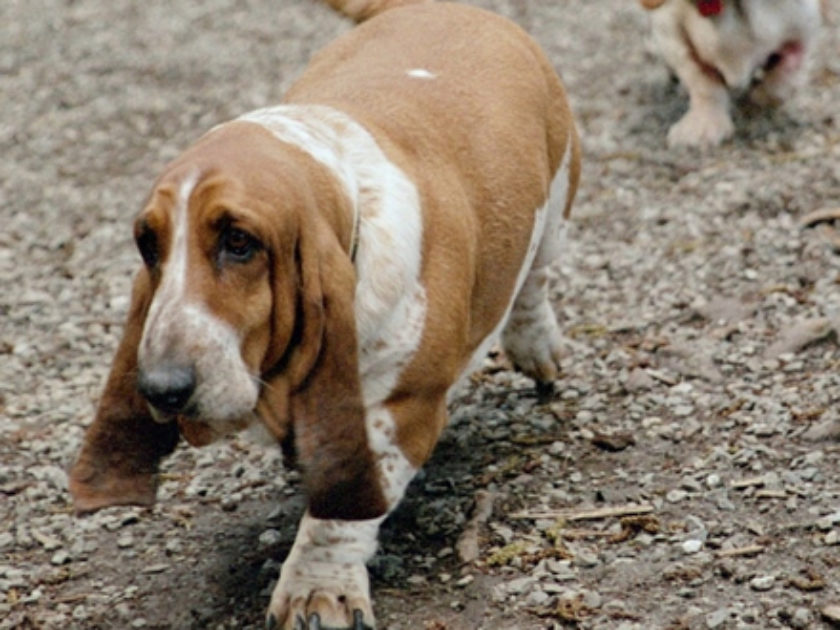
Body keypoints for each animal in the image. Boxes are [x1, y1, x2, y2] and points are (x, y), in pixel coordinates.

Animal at [69, 1, 580, 630]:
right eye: (148, 244)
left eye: (239, 242)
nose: (161, 389)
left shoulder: (398, 410)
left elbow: (338, 515)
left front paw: (318, 592)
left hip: (557, 202)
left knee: (534, 281)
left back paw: (538, 351)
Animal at [640, 0, 824, 148]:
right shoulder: (672, 37)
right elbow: (703, 83)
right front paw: (704, 125)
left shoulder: (801, 29)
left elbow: (783, 78)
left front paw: (761, 97)